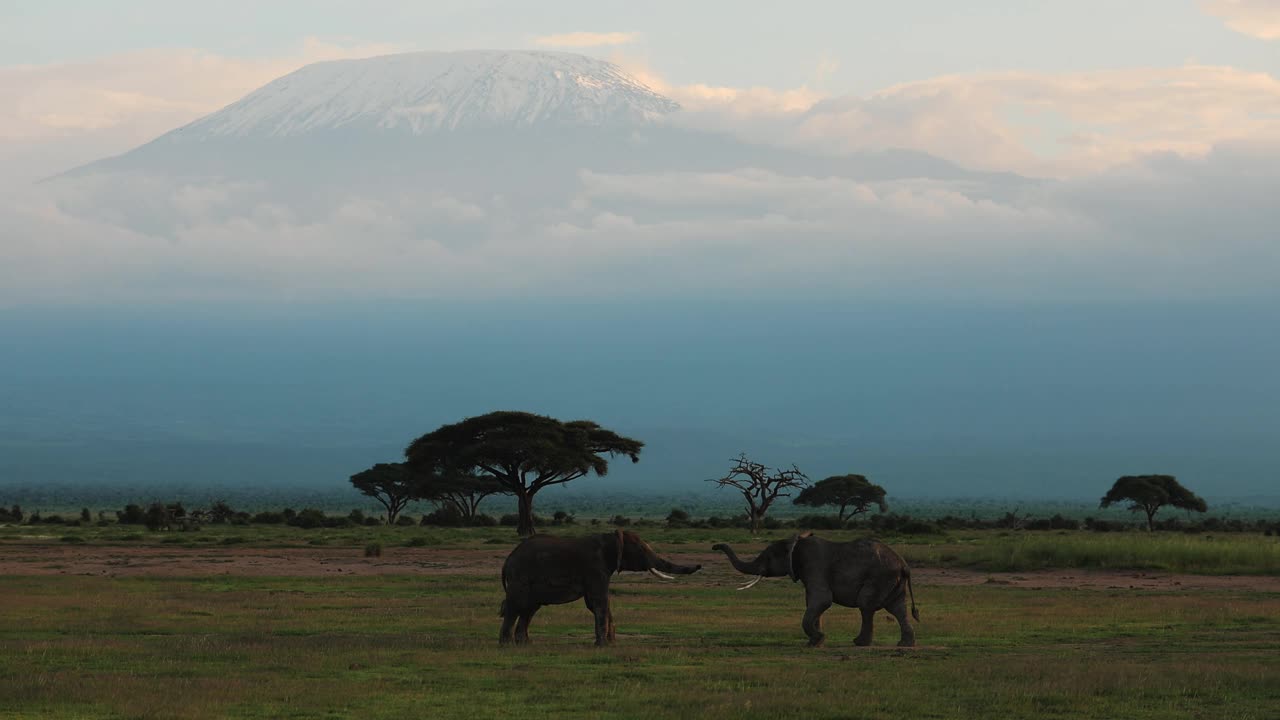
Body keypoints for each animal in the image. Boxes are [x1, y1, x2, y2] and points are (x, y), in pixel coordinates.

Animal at [496, 527, 701, 645]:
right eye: (641, 549)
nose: (700, 565)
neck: (610, 538)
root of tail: (507, 560)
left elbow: (598, 602)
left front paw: (610, 643)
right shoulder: (595, 568)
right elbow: (598, 601)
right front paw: (603, 645)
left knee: (529, 609)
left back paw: (525, 644)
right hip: (521, 577)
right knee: (515, 607)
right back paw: (506, 645)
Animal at [711, 532, 921, 645]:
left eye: (768, 557)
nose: (714, 546)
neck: (795, 544)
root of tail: (905, 565)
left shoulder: (814, 566)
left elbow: (821, 600)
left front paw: (816, 640)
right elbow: (813, 603)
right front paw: (816, 641)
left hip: (879, 577)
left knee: (866, 605)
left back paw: (860, 643)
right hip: (892, 581)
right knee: (898, 609)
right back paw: (904, 645)